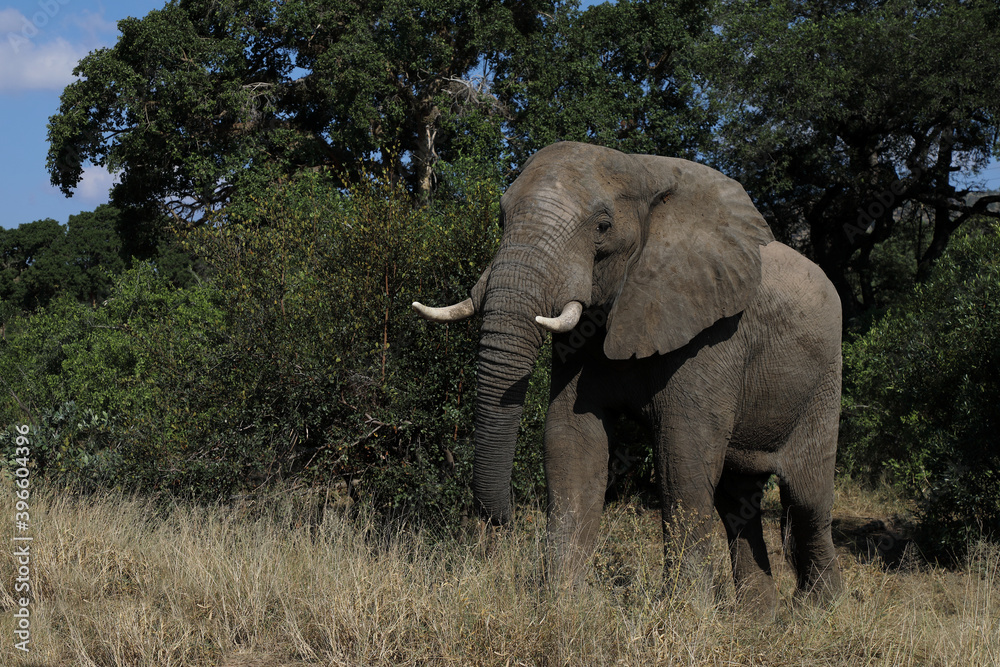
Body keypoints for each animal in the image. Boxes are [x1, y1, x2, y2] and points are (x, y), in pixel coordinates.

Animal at [413, 141, 843, 609]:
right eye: (500, 218)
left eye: (602, 227)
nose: (500, 522)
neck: (642, 171)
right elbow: (572, 442)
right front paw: (562, 602)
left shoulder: (714, 333)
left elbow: (683, 457)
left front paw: (684, 614)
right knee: (738, 499)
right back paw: (757, 618)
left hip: (825, 381)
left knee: (808, 498)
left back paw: (818, 611)